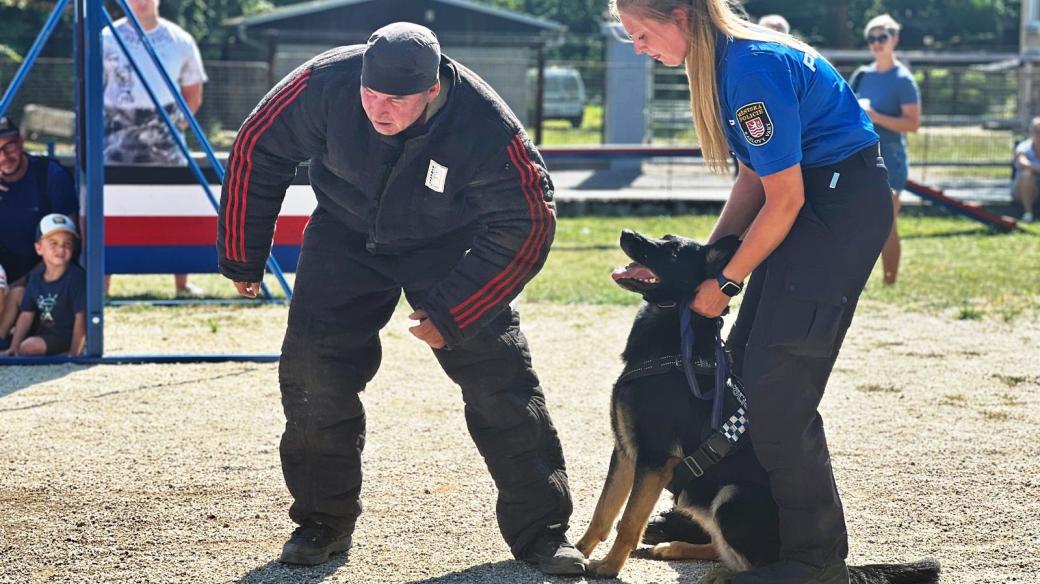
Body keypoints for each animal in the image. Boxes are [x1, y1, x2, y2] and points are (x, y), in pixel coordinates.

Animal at [578, 229, 944, 577]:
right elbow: (603, 512)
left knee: (753, 564)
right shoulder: (626, 453)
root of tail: (836, 562)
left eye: (671, 250)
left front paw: (609, 567)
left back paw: (723, 574)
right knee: (718, 549)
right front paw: (576, 552)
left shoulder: (654, 459)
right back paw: (671, 548)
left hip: (732, 498)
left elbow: (628, 521)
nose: (625, 233)